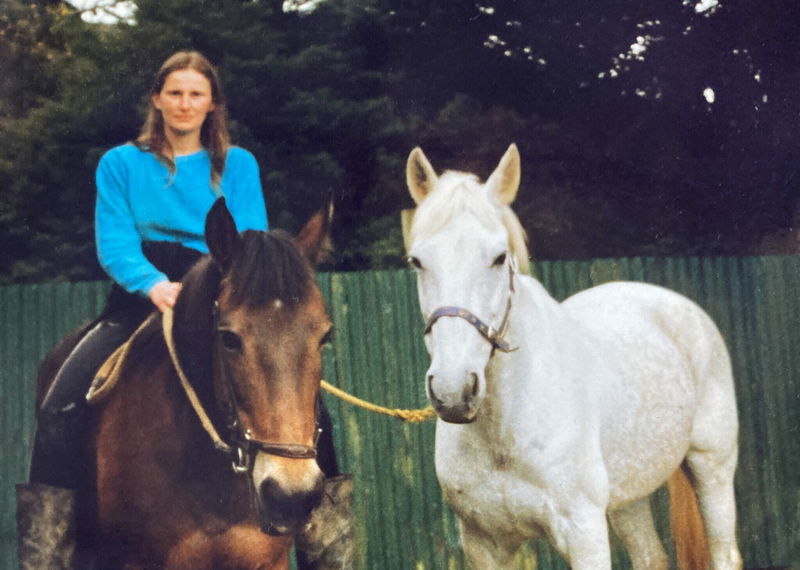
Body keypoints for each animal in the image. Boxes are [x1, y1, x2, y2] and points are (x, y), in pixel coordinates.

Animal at [404, 145, 742, 570]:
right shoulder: (484, 543)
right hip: (627, 498)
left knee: (724, 551)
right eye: (417, 261)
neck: (503, 433)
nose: (453, 392)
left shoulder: (584, 535)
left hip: (712, 469)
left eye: (499, 257)